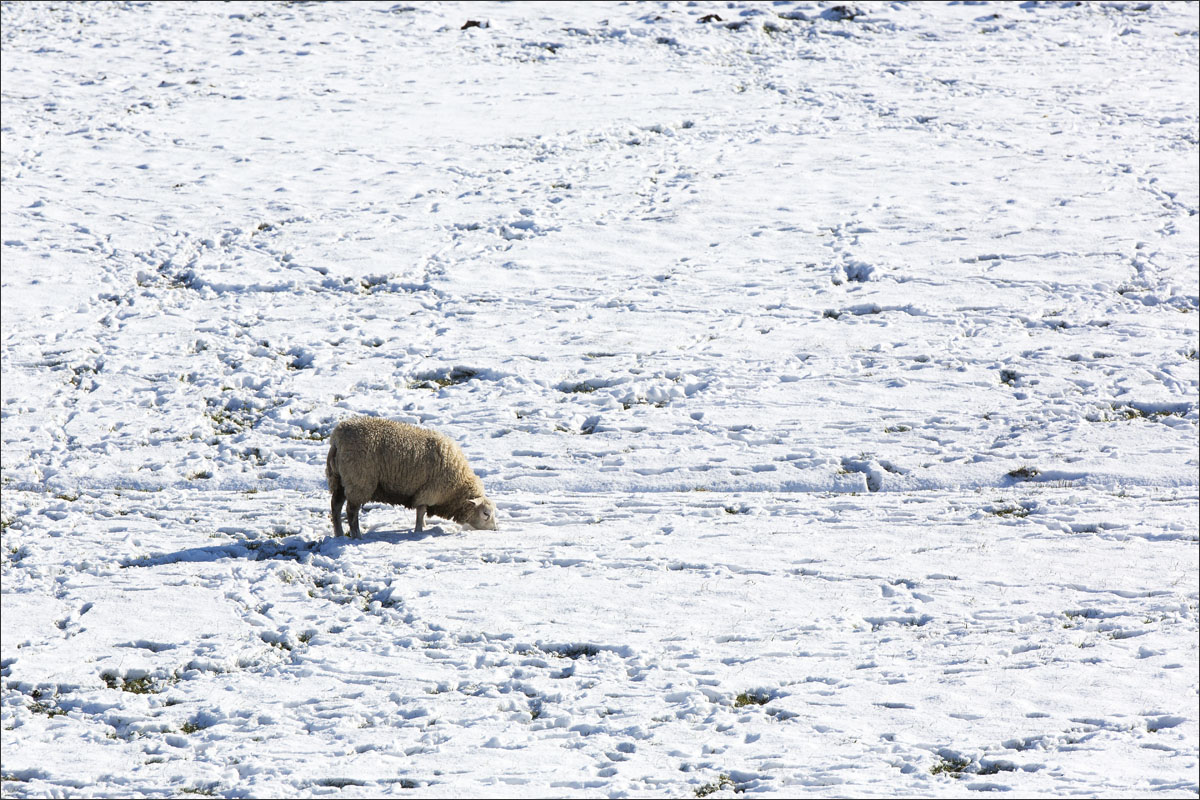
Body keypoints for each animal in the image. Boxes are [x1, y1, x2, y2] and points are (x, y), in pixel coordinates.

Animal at [326, 416, 499, 537]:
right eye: (486, 514)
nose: (495, 529)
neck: (457, 488)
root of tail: (337, 440)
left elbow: (421, 512)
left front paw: (424, 526)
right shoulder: (428, 491)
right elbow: (421, 511)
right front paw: (419, 531)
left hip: (338, 479)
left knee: (336, 506)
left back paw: (339, 534)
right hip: (359, 480)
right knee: (351, 511)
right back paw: (357, 536)